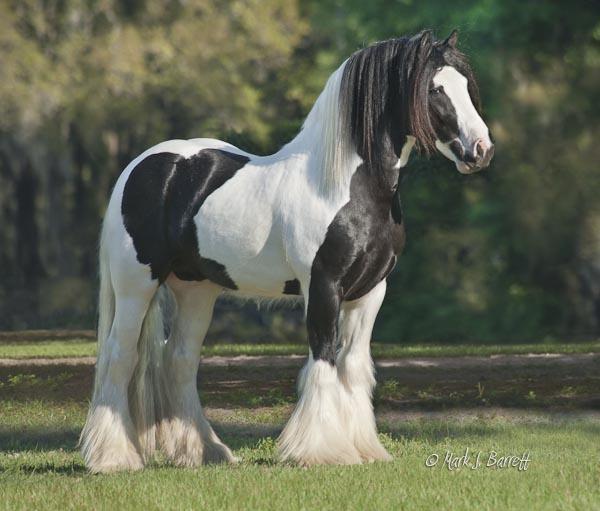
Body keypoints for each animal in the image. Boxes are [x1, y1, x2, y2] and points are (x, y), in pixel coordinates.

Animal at [79, 30, 492, 474]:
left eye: (466, 85)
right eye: (435, 89)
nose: (481, 150)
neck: (346, 187)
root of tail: (139, 166)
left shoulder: (370, 292)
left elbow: (353, 365)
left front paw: (365, 449)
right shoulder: (323, 287)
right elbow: (323, 360)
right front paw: (320, 451)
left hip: (196, 291)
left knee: (180, 361)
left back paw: (206, 452)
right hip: (136, 284)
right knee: (120, 356)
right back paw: (113, 458)